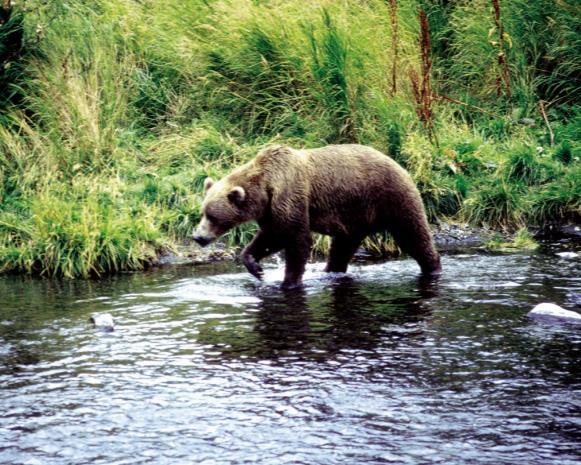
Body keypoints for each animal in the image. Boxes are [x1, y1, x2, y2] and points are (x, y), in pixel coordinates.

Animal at [194, 145, 440, 288]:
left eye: (212, 217)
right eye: (202, 213)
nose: (198, 237)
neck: (265, 188)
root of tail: (400, 165)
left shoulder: (291, 195)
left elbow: (297, 239)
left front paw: (289, 282)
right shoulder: (271, 210)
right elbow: (272, 236)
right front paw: (255, 266)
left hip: (391, 197)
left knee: (413, 234)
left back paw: (433, 267)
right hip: (354, 215)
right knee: (341, 248)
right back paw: (331, 271)